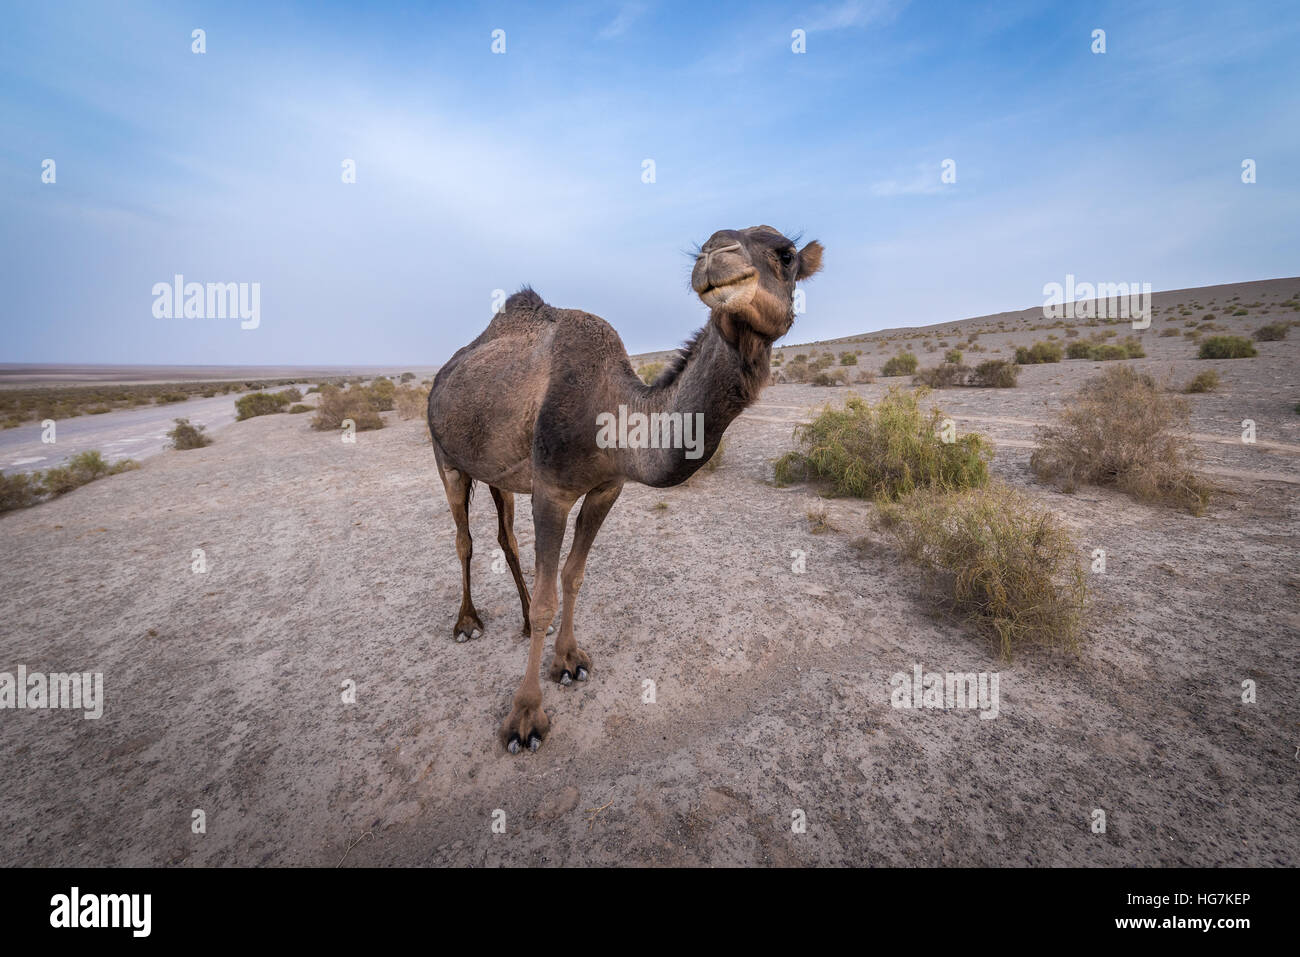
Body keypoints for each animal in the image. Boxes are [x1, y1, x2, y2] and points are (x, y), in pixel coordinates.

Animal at [427, 226, 823, 753]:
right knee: (464, 540)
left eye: (787, 254)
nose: (715, 253)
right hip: (446, 458)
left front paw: (568, 661)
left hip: (498, 474)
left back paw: (519, 616)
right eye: (706, 245)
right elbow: (549, 597)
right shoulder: (551, 490)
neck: (611, 415)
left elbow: (572, 576)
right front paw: (526, 717)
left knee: (504, 537)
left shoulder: (606, 489)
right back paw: (467, 623)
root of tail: (442, 374)